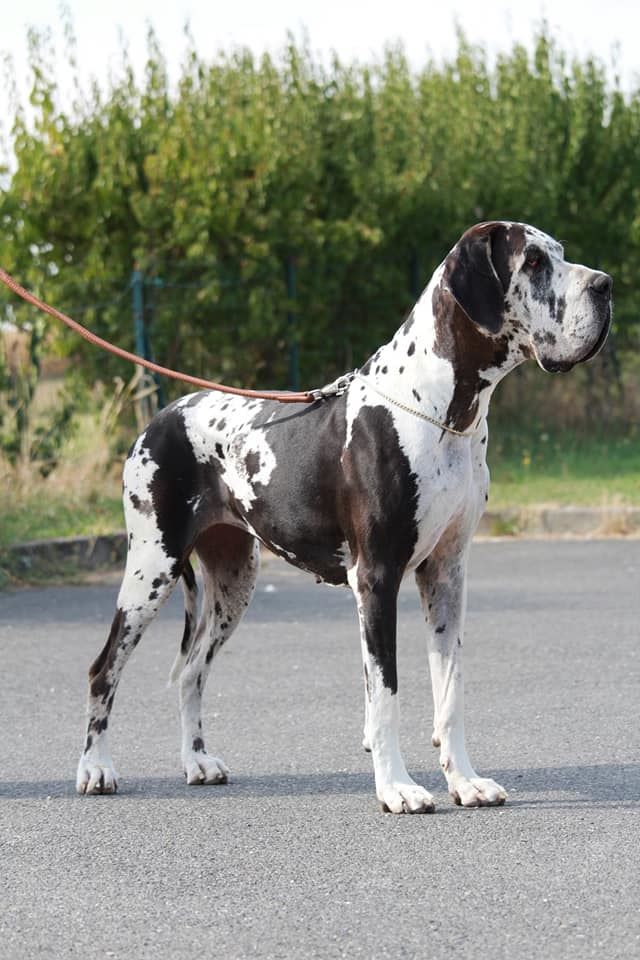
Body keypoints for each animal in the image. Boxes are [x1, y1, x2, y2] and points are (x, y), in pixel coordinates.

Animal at [76, 221, 612, 812]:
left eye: (559, 254)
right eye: (534, 261)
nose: (606, 285)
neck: (442, 409)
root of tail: (161, 417)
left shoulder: (447, 574)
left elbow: (450, 692)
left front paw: (465, 781)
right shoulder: (376, 578)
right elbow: (386, 695)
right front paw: (397, 788)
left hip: (234, 581)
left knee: (192, 671)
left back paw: (197, 761)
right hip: (151, 569)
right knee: (104, 669)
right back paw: (96, 768)